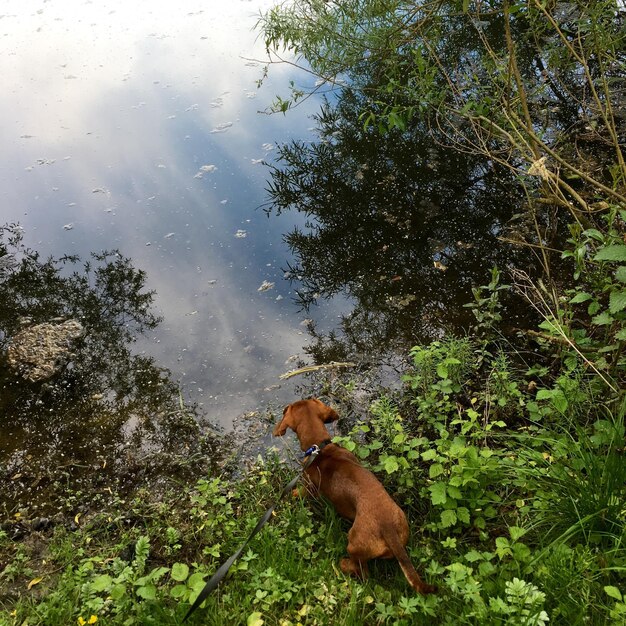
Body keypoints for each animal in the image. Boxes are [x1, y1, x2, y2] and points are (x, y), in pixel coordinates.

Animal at [272, 398, 434, 592]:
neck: (320, 449)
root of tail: (387, 527)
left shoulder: (309, 489)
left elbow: (297, 493)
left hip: (353, 545)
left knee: (363, 573)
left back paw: (343, 564)